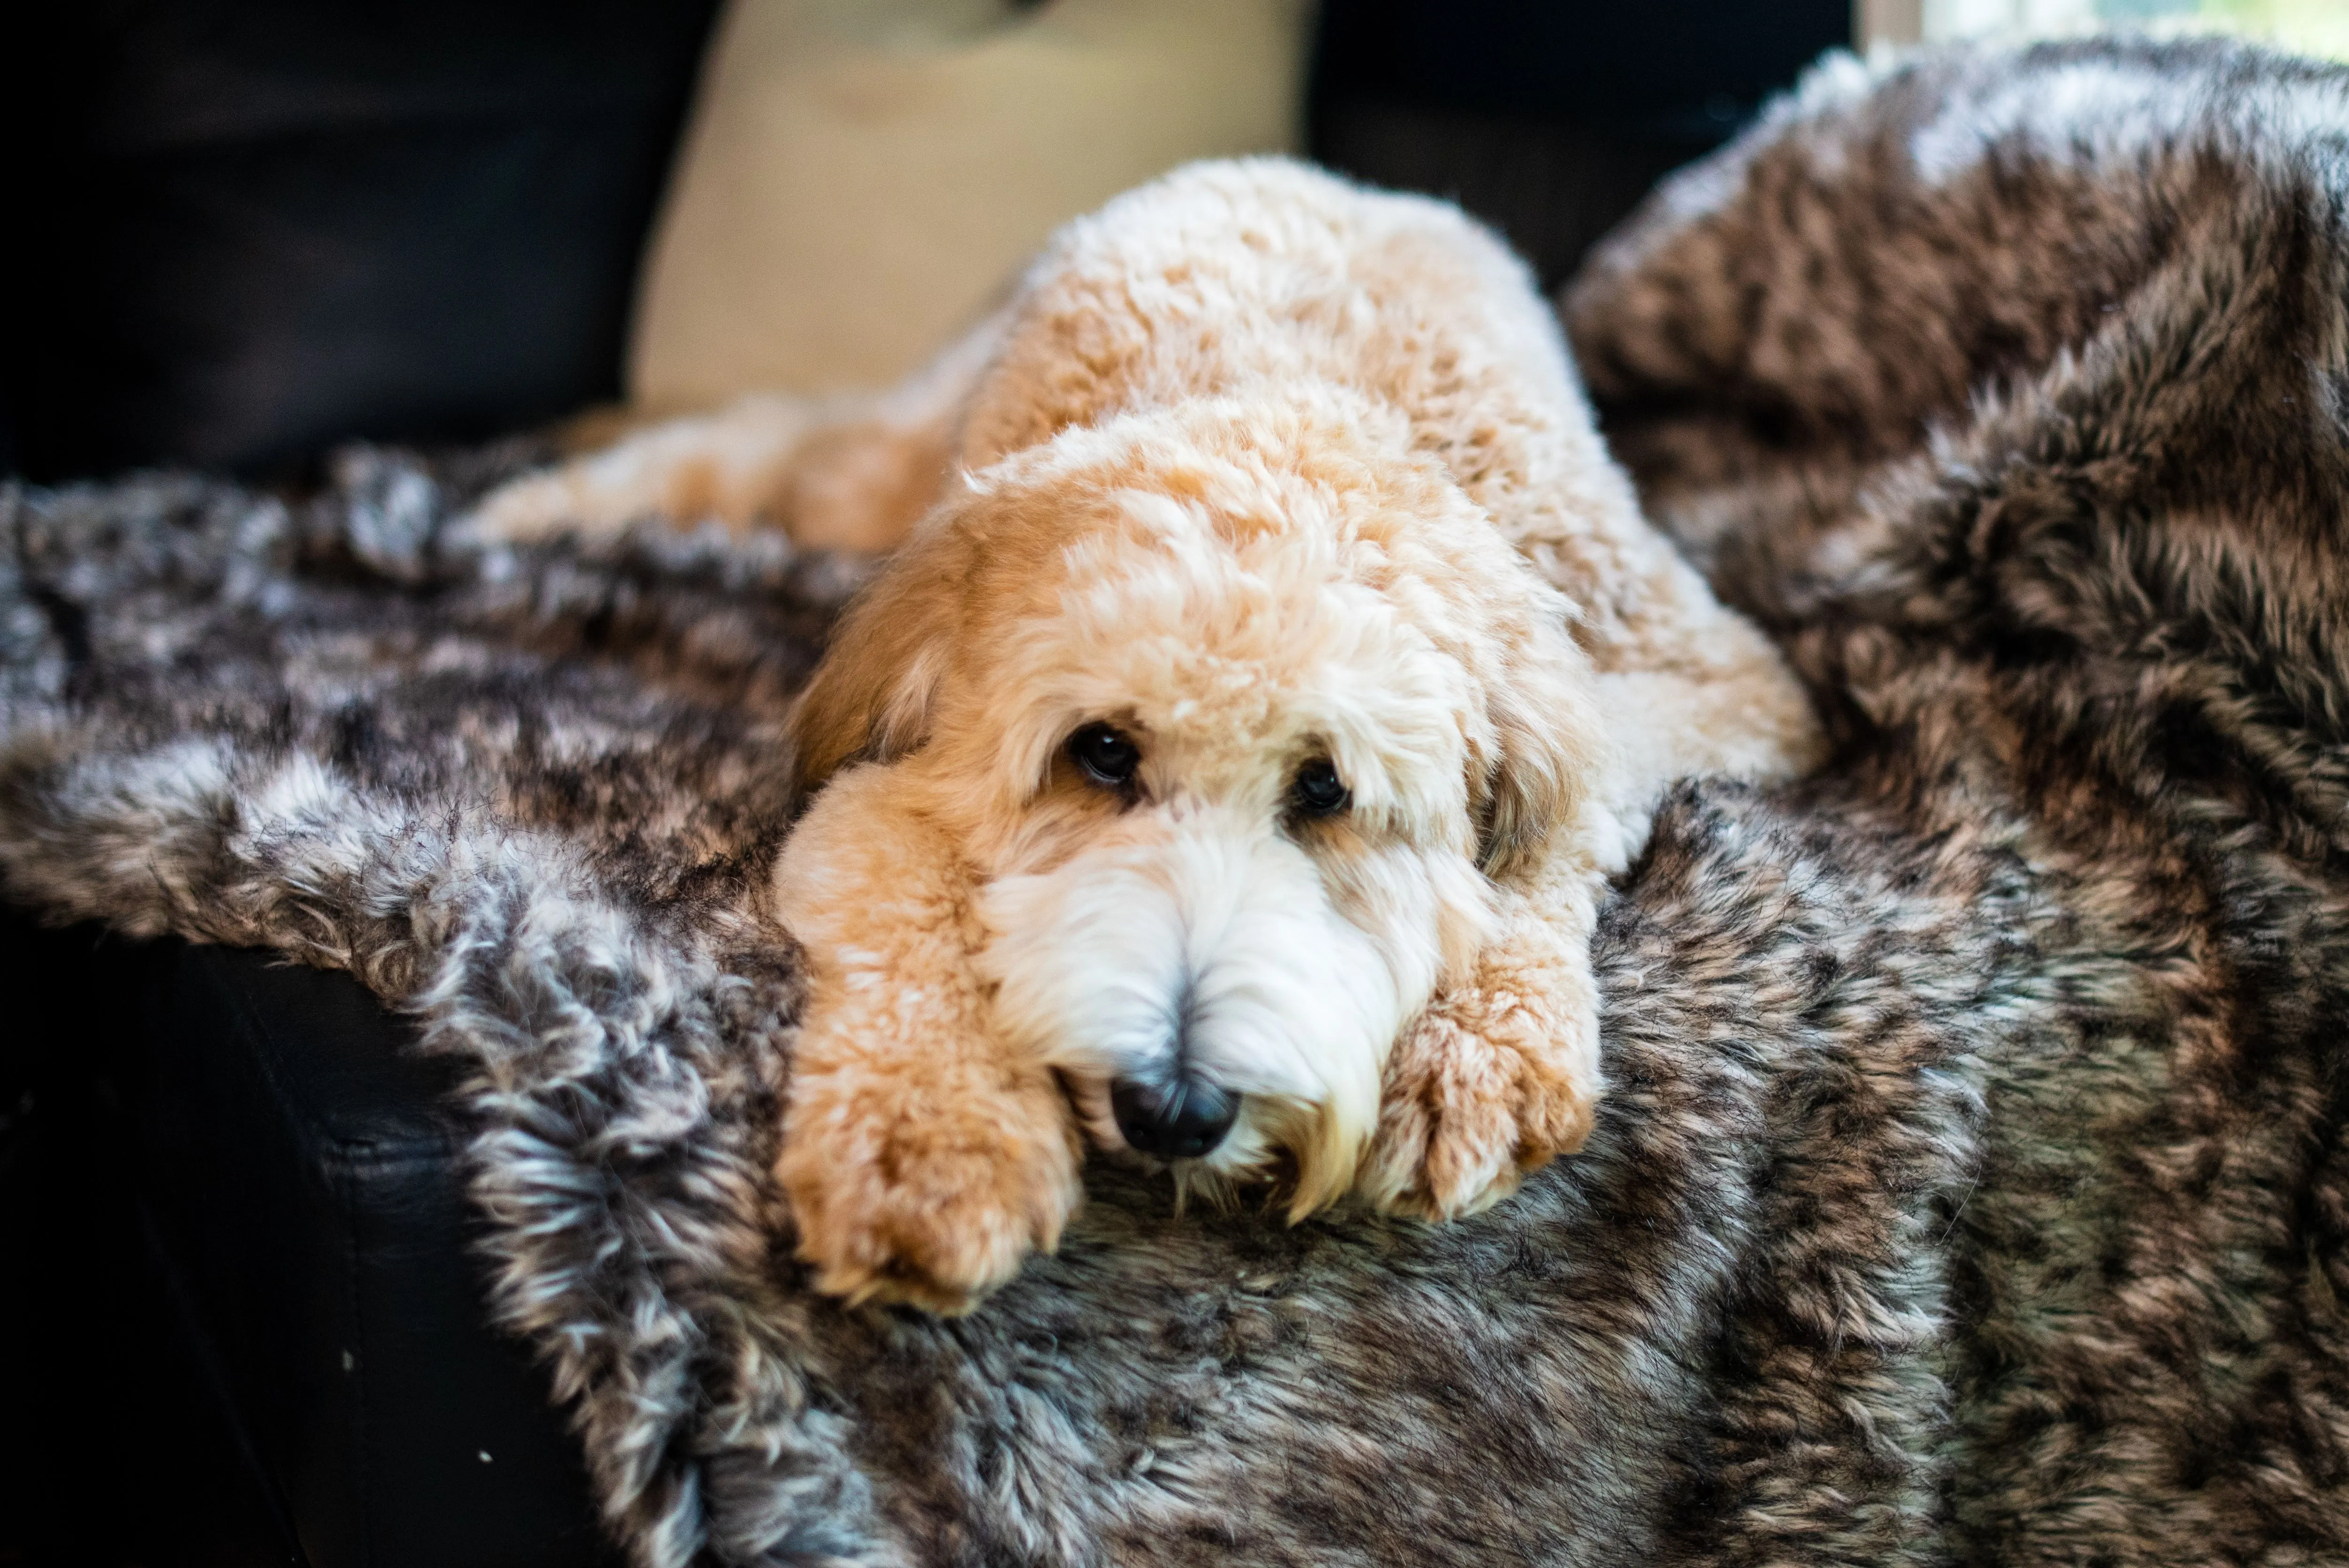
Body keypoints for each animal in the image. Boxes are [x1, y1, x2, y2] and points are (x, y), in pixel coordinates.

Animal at [467, 159, 1804, 1314]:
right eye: (1101, 752)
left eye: (1325, 791)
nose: (1171, 1107)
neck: (1294, 396)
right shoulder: (889, 777)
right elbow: (902, 889)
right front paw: (929, 1136)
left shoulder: (1715, 684)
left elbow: (1563, 816)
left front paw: (1469, 1038)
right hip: (877, 473)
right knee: (758, 445)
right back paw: (521, 512)